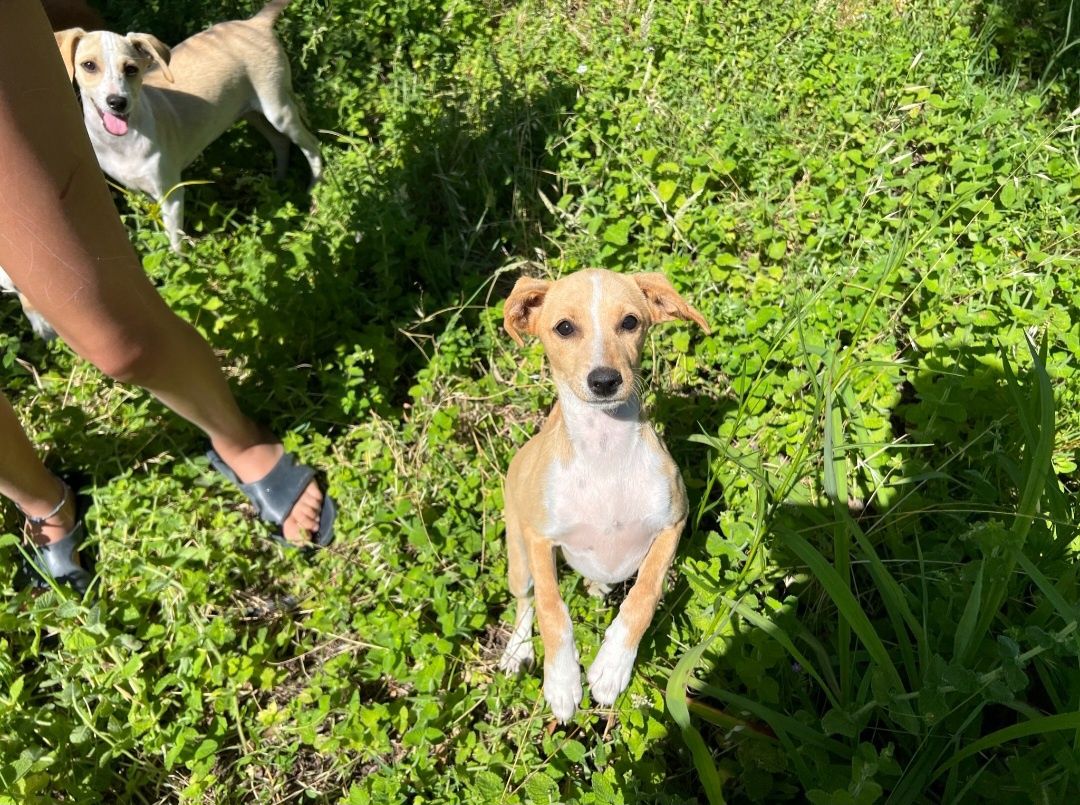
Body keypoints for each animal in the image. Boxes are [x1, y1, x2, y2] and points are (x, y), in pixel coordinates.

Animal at [54, 0, 321, 250]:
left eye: (131, 69)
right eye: (89, 65)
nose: (118, 102)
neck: (121, 143)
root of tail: (255, 23)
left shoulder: (171, 194)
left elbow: (175, 243)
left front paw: (182, 260)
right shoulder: (141, 193)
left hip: (278, 108)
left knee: (313, 145)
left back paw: (314, 193)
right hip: (251, 112)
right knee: (280, 142)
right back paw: (278, 184)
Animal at [496, 266, 708, 717]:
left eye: (630, 322)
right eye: (564, 327)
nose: (605, 380)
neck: (605, 455)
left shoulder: (673, 523)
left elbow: (645, 594)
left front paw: (612, 667)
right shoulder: (540, 539)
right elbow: (551, 609)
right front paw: (561, 681)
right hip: (518, 554)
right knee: (524, 601)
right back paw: (518, 652)